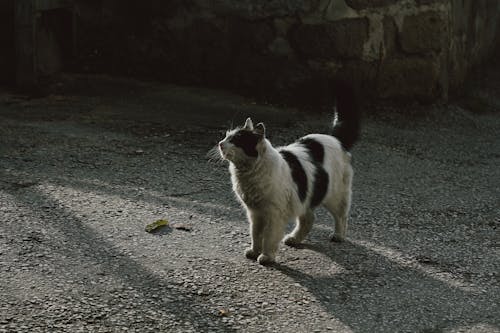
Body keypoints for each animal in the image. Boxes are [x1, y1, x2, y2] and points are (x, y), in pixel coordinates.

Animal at [218, 81, 360, 264]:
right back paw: (294, 239)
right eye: (226, 136)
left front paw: (266, 257)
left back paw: (338, 236)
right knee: (309, 219)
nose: (220, 143)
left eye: (235, 141)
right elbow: (256, 235)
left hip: (335, 196)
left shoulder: (274, 214)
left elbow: (269, 237)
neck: (248, 173)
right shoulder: (255, 214)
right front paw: (254, 251)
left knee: (341, 216)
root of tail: (335, 138)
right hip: (306, 197)